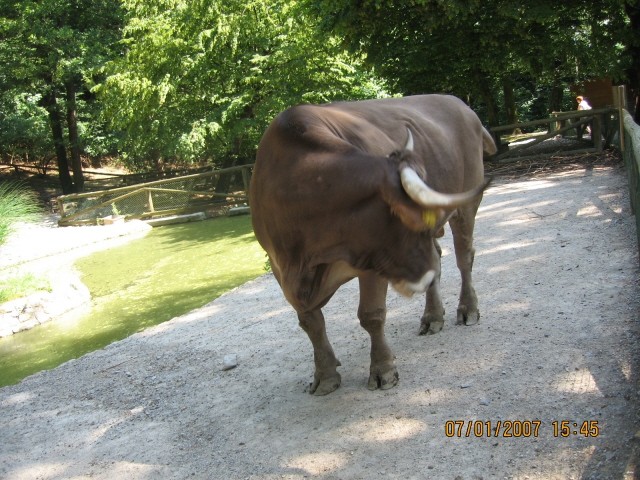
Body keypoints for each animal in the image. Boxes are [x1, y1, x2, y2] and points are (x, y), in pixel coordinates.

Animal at [249, 94, 496, 394]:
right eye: (412, 221)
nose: (423, 277)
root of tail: (461, 105)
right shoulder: (279, 267)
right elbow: (311, 322)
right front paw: (325, 374)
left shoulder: (373, 261)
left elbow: (371, 315)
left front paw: (382, 369)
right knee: (440, 257)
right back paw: (432, 316)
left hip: (467, 205)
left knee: (463, 257)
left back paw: (468, 309)